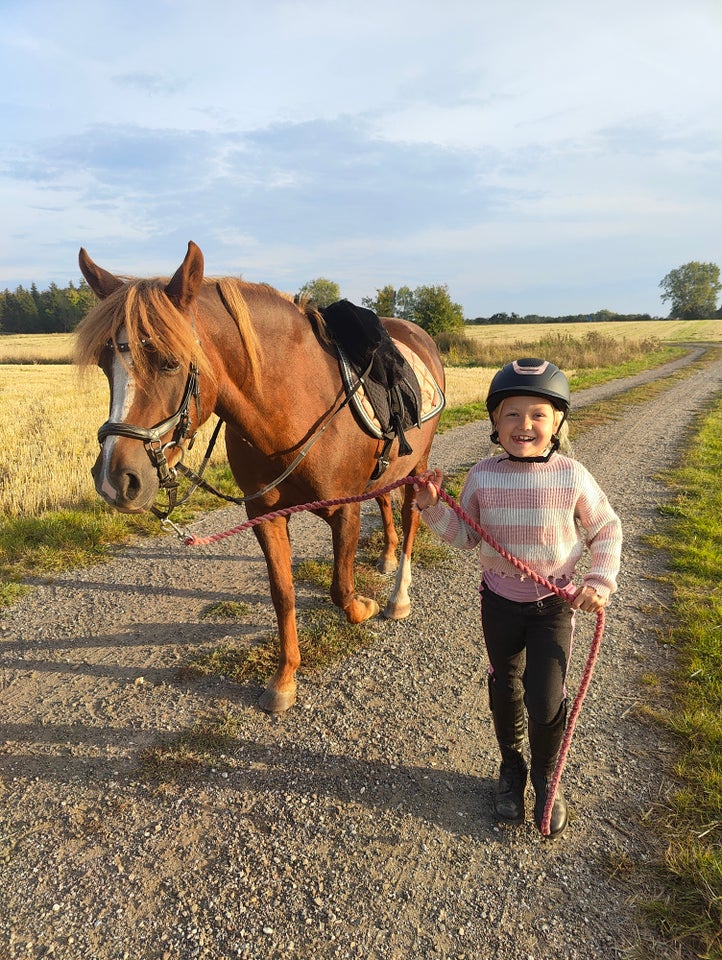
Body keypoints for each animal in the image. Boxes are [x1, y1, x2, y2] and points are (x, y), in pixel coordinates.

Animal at [74, 242, 444, 712]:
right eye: (106, 364)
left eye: (171, 362)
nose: (115, 480)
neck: (292, 405)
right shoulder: (264, 515)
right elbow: (282, 593)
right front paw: (284, 679)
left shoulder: (343, 510)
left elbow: (341, 590)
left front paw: (367, 607)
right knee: (384, 499)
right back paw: (388, 557)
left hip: (418, 466)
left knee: (412, 515)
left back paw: (398, 596)